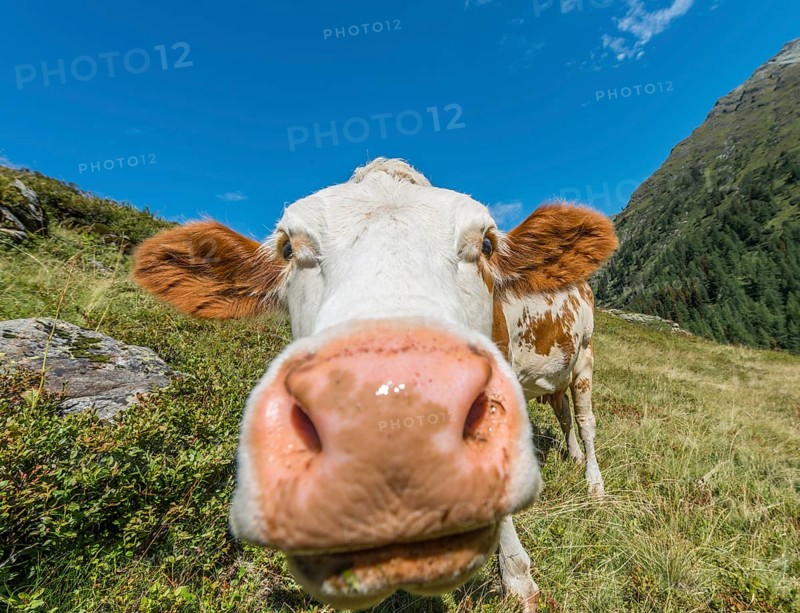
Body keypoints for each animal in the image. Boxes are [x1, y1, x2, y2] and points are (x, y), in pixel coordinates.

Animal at [132, 158, 617, 611]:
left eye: (486, 244)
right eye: (288, 248)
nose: (390, 405)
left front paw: (517, 580)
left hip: (586, 355)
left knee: (587, 421)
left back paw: (594, 485)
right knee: (564, 414)